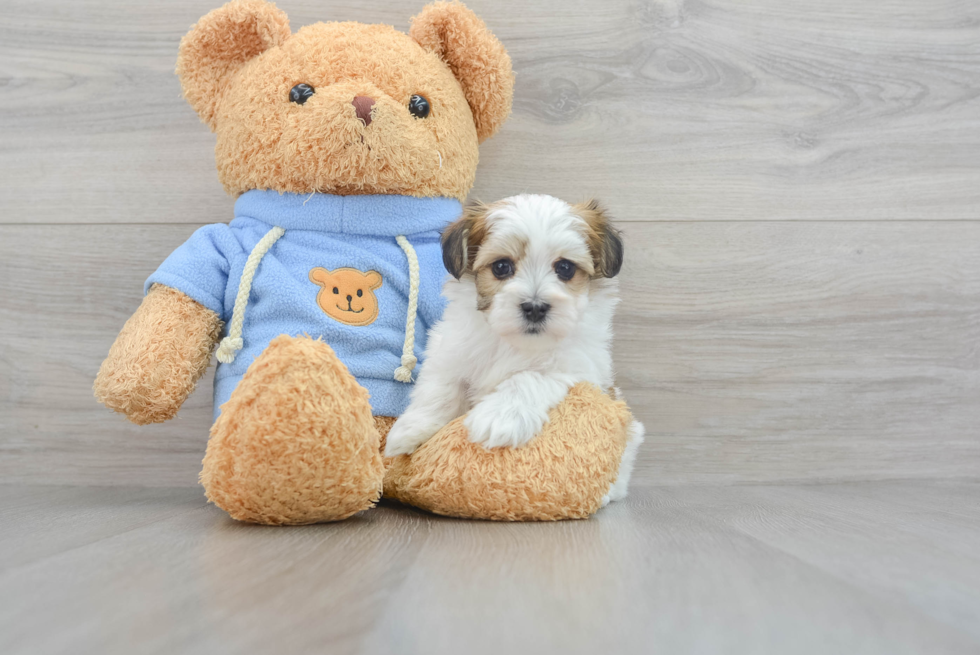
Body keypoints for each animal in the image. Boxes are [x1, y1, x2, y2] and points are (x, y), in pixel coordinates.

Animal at [386, 193, 648, 502]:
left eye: (565, 268)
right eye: (501, 267)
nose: (535, 307)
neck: (514, 342)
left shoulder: (577, 367)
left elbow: (528, 377)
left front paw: (500, 417)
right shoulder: (451, 349)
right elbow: (441, 388)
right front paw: (411, 428)